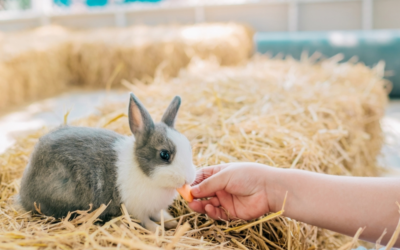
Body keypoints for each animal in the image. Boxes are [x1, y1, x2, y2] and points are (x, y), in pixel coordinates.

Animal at [18, 93, 198, 232]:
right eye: (164, 155)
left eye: (189, 147)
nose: (188, 179)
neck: (143, 172)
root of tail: (24, 193)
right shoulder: (135, 209)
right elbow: (145, 221)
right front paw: (158, 229)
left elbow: (160, 215)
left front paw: (172, 222)